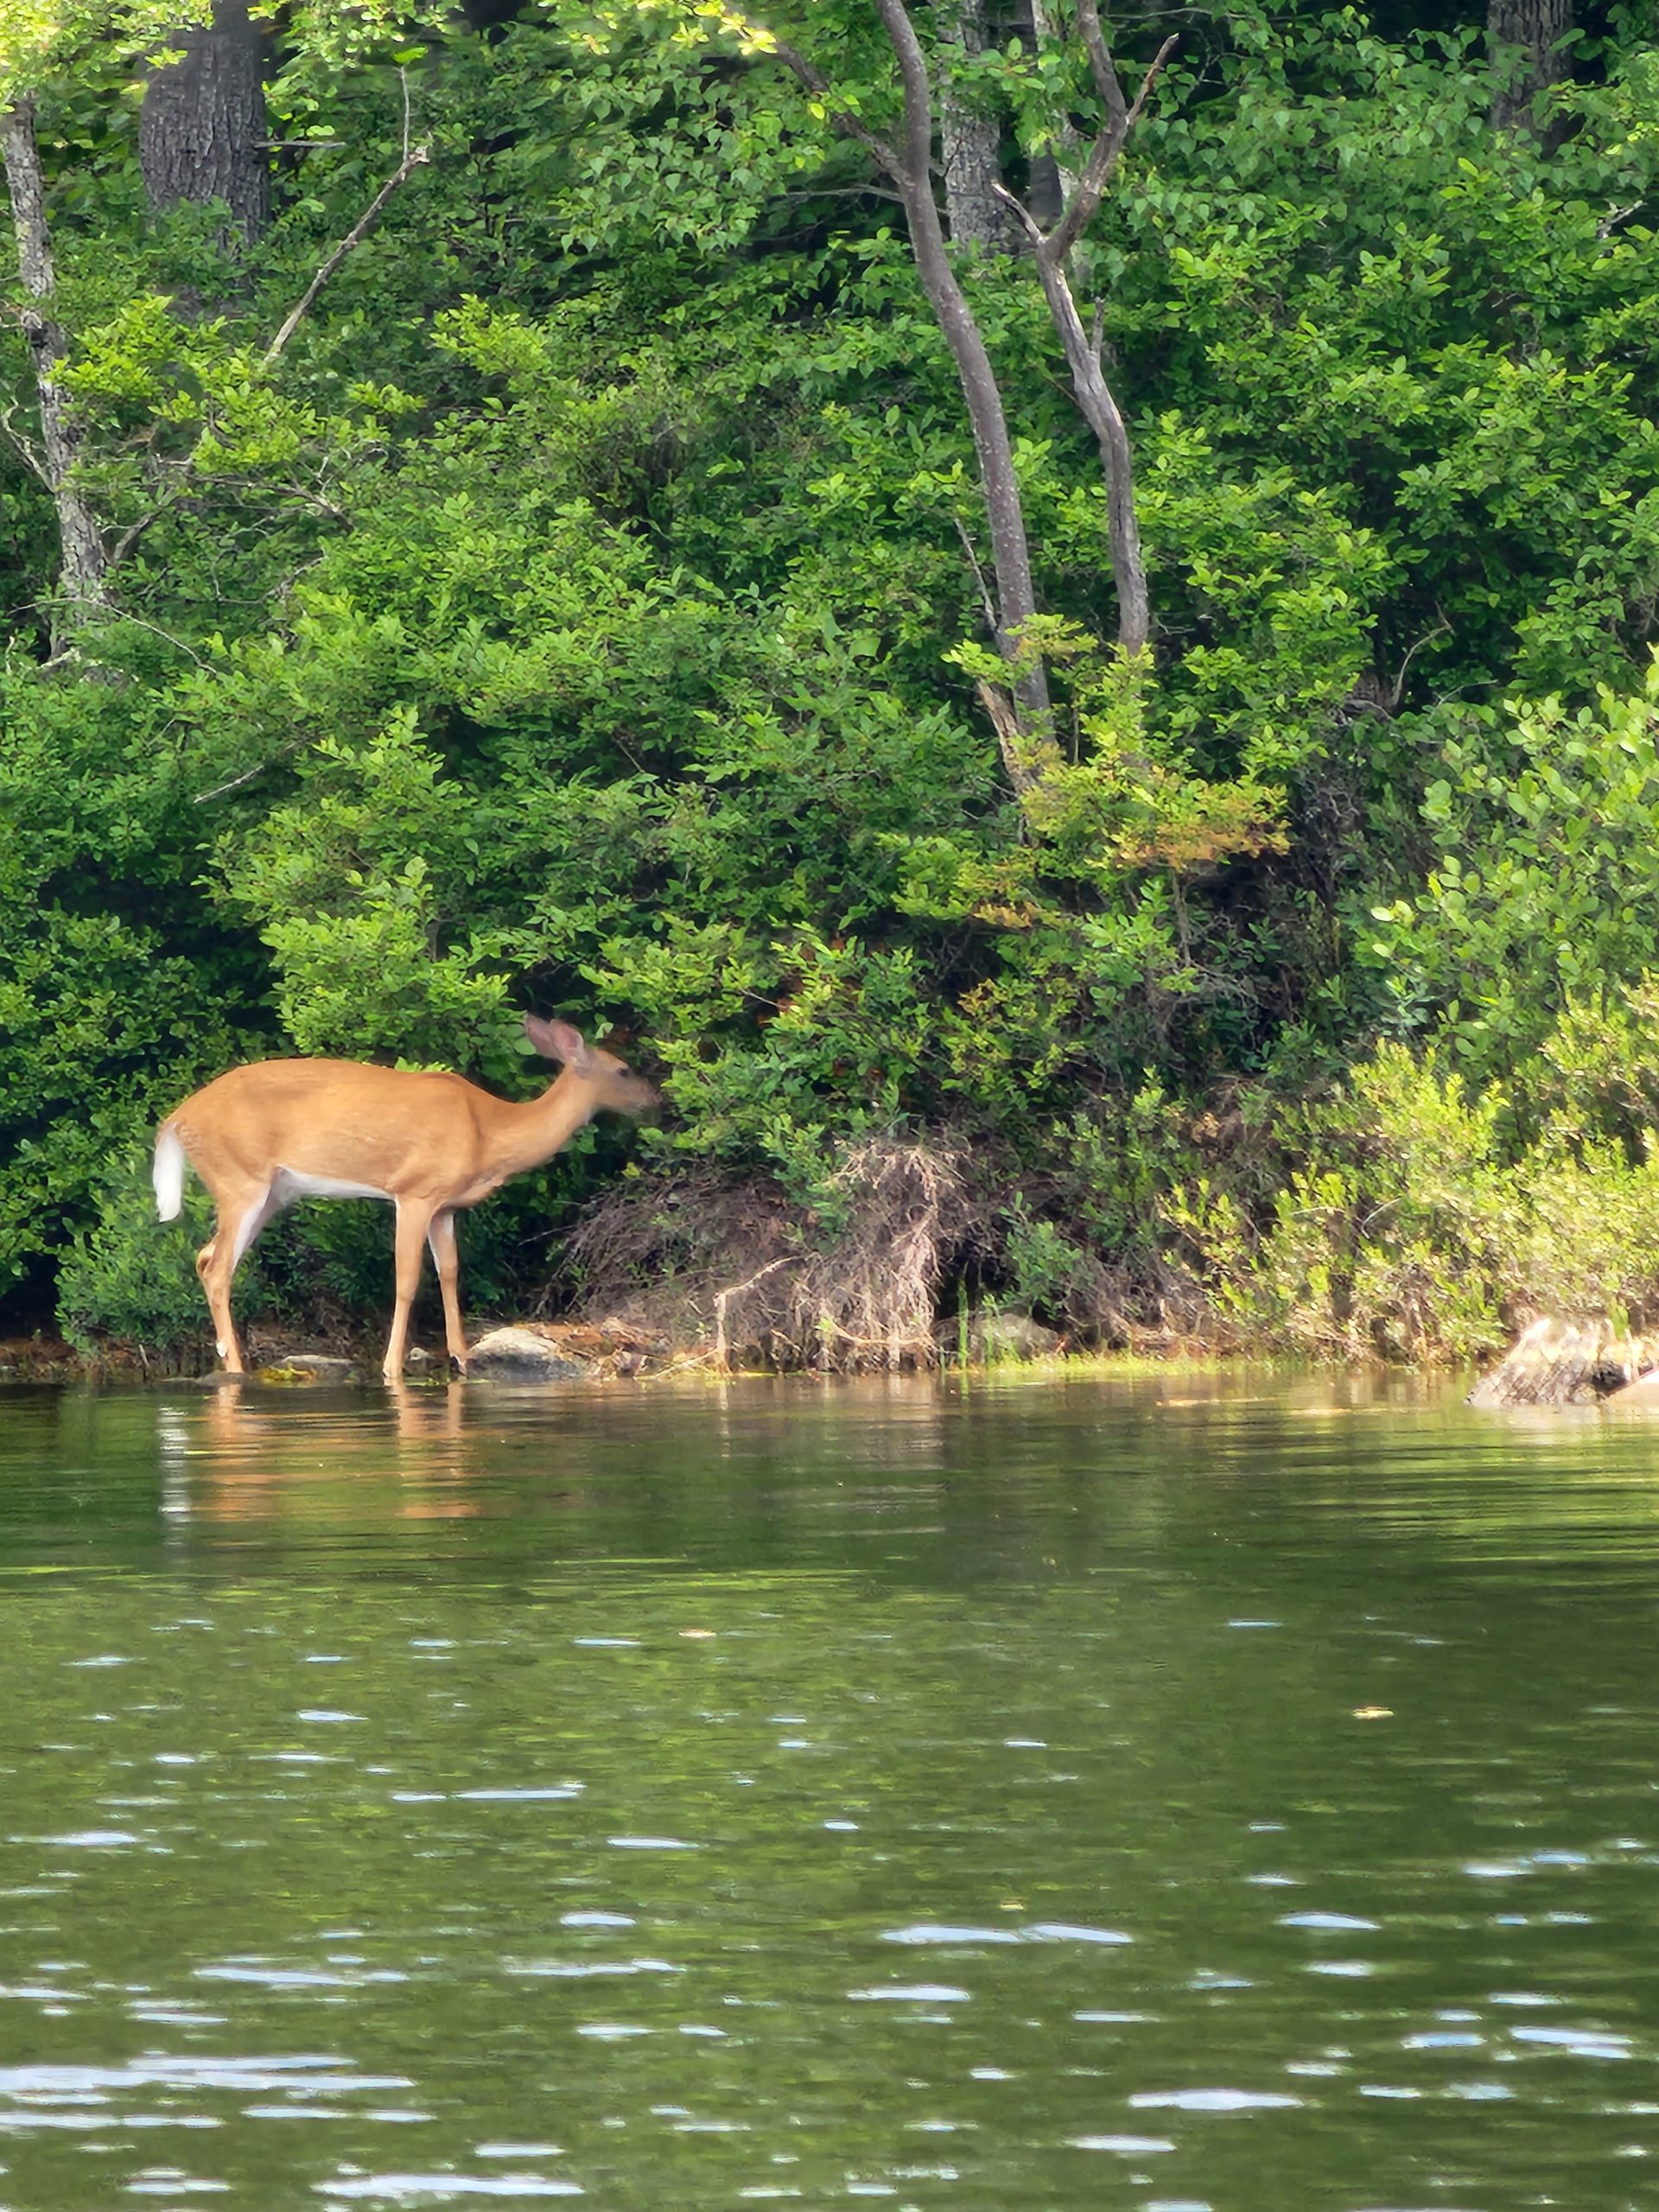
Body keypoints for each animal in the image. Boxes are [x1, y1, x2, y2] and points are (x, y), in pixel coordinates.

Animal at [149, 1017, 654, 1380]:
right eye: (623, 1069)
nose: (656, 1100)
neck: (489, 1134)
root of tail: (178, 1119)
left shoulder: (445, 1206)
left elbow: (450, 1271)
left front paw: (462, 1357)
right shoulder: (414, 1191)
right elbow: (408, 1278)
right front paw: (392, 1366)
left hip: (269, 1192)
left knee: (205, 1256)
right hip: (240, 1178)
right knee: (218, 1269)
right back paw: (236, 1369)